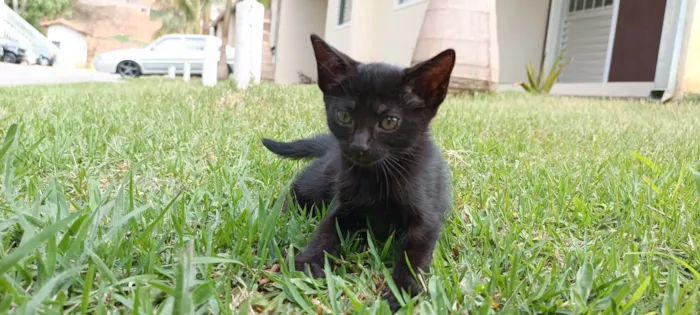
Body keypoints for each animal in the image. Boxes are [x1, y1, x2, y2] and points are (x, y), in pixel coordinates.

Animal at [262, 34, 454, 312]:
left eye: (389, 122)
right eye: (344, 116)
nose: (358, 146)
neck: (376, 177)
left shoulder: (426, 220)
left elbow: (414, 256)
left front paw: (401, 291)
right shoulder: (342, 206)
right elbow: (327, 228)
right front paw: (308, 262)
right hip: (319, 181)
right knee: (295, 191)